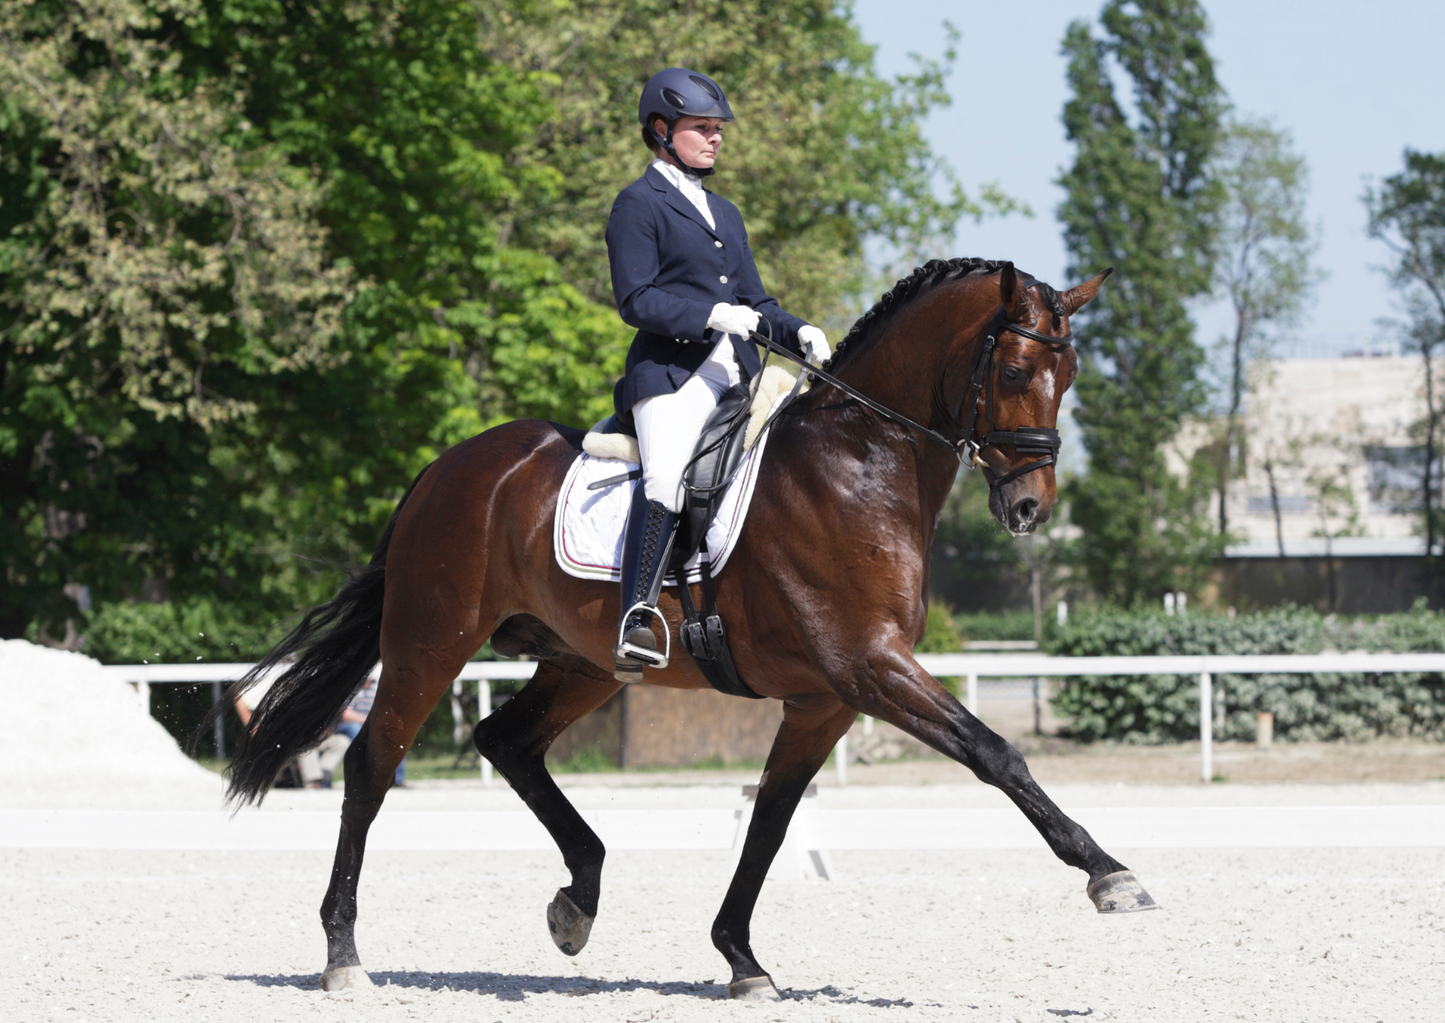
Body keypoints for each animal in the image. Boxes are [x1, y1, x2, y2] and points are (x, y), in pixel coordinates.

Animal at [214, 257, 1156, 1001]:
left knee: (505, 740)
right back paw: (343, 954)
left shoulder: (824, 699)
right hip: (430, 641)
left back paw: (577, 900)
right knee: (372, 764)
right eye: (1014, 370)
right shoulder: (871, 668)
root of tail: (447, 467)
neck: (859, 463)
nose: (1030, 508)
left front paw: (741, 958)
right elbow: (996, 753)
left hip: (581, 662)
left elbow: (771, 821)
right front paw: (1110, 875)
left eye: (1070, 374)